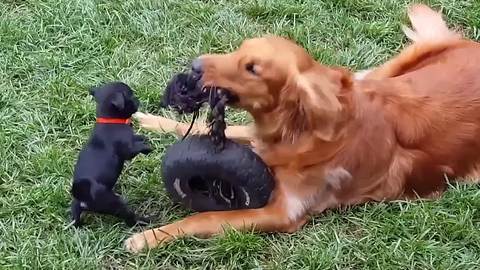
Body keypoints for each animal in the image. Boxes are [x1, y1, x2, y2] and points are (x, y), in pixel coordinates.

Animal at [69, 81, 151, 227]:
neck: (109, 120)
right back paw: (143, 221)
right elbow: (134, 149)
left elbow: (137, 138)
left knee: (75, 217)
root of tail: (84, 200)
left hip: (76, 208)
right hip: (116, 204)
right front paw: (146, 148)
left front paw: (143, 138)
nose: (138, 100)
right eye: (131, 96)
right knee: (128, 218)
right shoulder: (127, 150)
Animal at [124, 3, 480, 253]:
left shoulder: (284, 212)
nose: (195, 66)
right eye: (239, 49)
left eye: (252, 68)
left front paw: (149, 237)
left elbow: (207, 216)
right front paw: (149, 119)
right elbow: (212, 129)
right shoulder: (260, 141)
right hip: (382, 74)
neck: (297, 130)